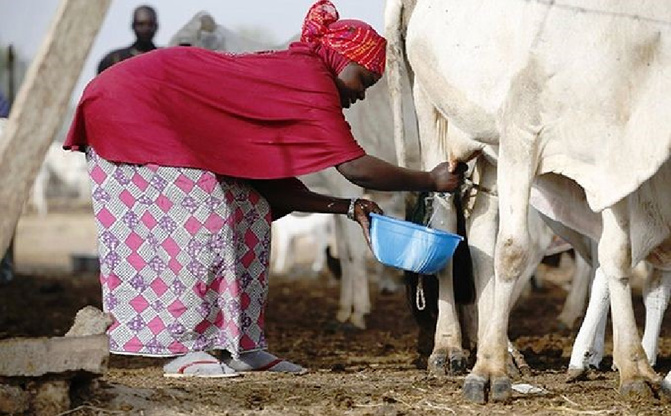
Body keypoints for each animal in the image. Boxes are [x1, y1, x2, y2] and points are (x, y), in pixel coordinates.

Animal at [394, 0, 671, 404]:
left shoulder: (613, 160)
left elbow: (617, 255)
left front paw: (636, 370)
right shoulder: (521, 133)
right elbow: (511, 250)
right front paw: (487, 374)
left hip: (488, 153)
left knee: (480, 228)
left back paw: (497, 347)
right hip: (434, 114)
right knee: (446, 223)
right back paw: (449, 348)